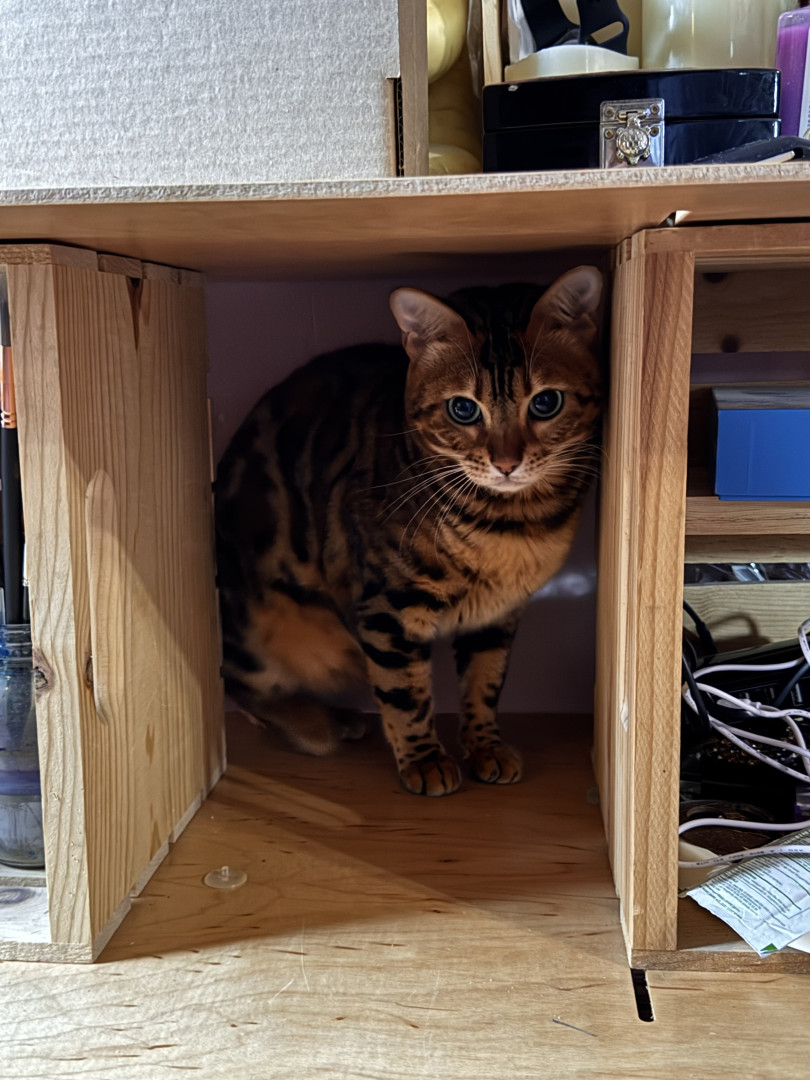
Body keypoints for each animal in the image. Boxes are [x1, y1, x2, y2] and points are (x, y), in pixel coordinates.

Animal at [215, 266, 603, 796]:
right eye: (463, 409)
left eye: (546, 402)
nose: (506, 463)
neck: (510, 526)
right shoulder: (388, 608)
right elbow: (405, 694)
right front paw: (425, 760)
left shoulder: (497, 616)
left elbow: (485, 682)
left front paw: (485, 746)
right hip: (264, 619)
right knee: (240, 681)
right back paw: (319, 726)